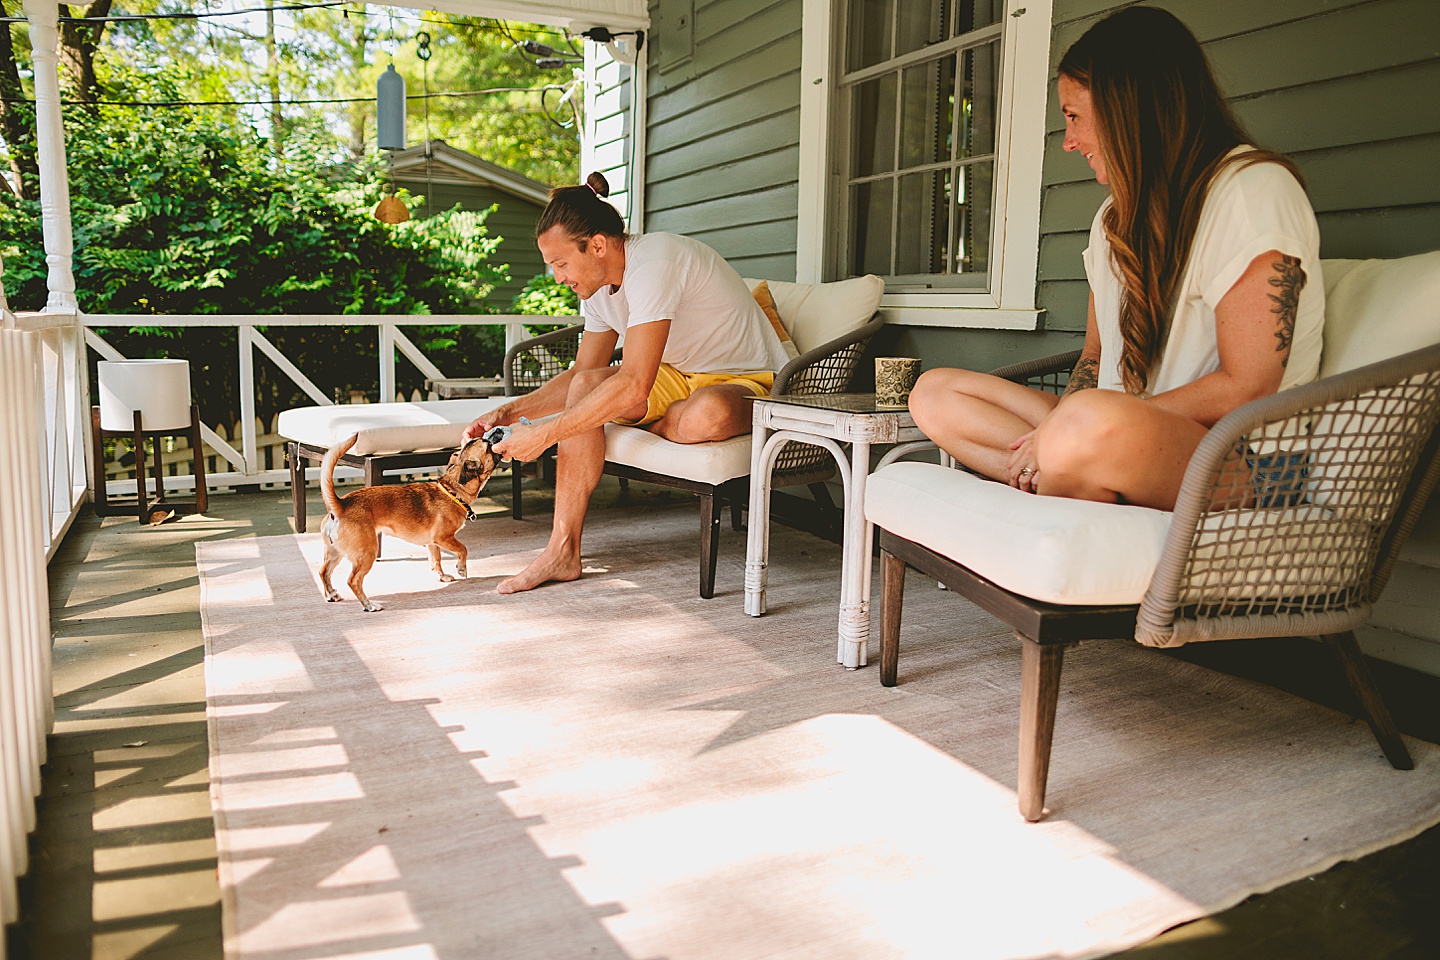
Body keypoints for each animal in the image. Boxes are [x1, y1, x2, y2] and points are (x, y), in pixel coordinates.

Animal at [318, 434, 498, 613]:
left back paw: (331, 594)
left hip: (335, 553)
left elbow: (436, 560)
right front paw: (462, 568)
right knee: (353, 580)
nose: (493, 437)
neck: (452, 491)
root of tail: (341, 505)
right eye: (488, 447)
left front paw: (442, 576)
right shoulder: (444, 538)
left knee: (323, 572)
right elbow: (463, 549)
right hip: (367, 553)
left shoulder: (432, 544)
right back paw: (368, 605)